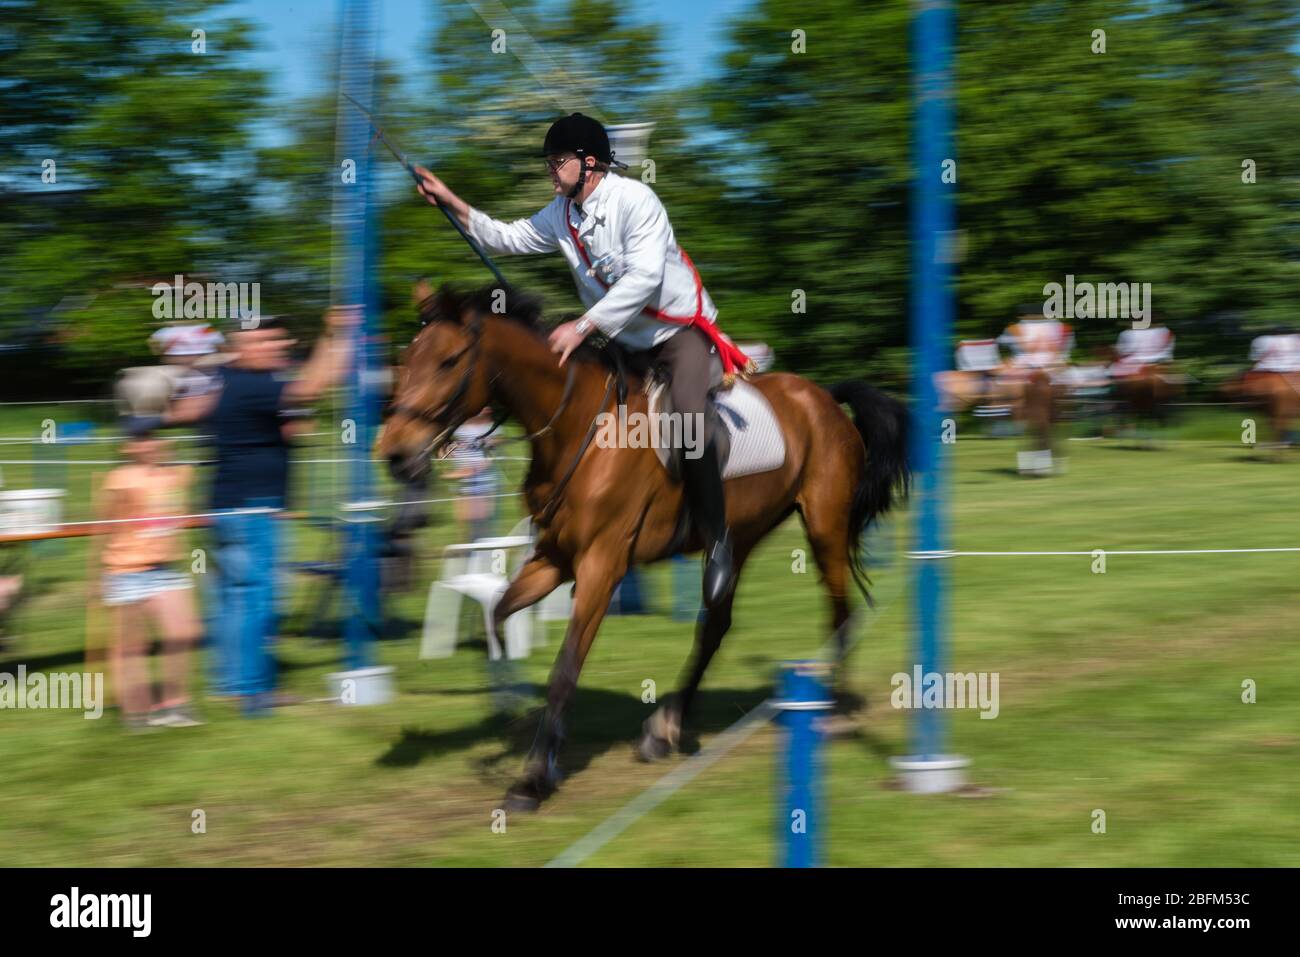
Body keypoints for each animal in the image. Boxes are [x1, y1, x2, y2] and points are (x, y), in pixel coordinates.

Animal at [377, 286, 909, 806]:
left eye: (448, 361)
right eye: (406, 361)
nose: (396, 454)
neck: (579, 427)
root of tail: (824, 397)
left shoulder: (601, 566)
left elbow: (565, 669)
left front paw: (533, 780)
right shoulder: (553, 559)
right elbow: (499, 615)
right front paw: (521, 723)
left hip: (824, 527)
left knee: (840, 613)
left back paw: (834, 711)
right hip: (740, 536)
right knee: (716, 624)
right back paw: (665, 727)